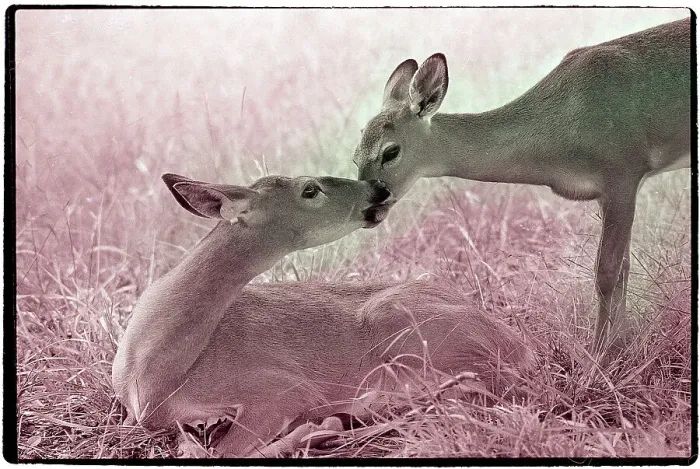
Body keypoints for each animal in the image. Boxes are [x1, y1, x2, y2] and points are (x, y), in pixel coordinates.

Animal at [111, 172, 534, 458]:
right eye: (310, 189)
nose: (378, 187)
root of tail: (519, 345)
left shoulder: (282, 387)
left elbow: (225, 452)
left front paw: (314, 429)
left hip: (402, 324)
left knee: (478, 391)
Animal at [352, 18, 691, 353]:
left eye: (390, 152)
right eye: (355, 157)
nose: (368, 211)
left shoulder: (623, 171)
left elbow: (606, 272)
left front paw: (599, 358)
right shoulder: (608, 192)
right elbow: (623, 268)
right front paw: (619, 348)